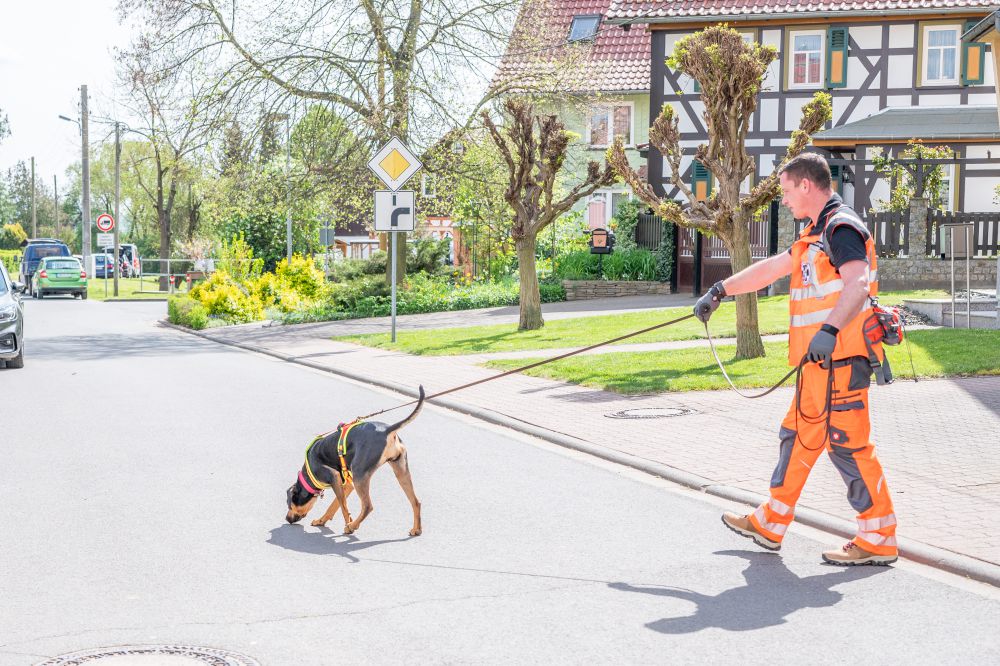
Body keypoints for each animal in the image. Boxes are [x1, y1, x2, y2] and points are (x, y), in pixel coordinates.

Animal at [284, 384, 424, 536]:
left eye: (289, 504)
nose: (286, 519)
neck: (309, 474)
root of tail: (387, 430)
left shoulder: (335, 478)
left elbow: (343, 507)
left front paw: (348, 524)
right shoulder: (345, 484)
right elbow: (335, 505)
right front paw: (322, 520)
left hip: (360, 475)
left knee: (368, 506)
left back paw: (352, 526)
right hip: (400, 471)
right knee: (416, 501)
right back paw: (417, 529)